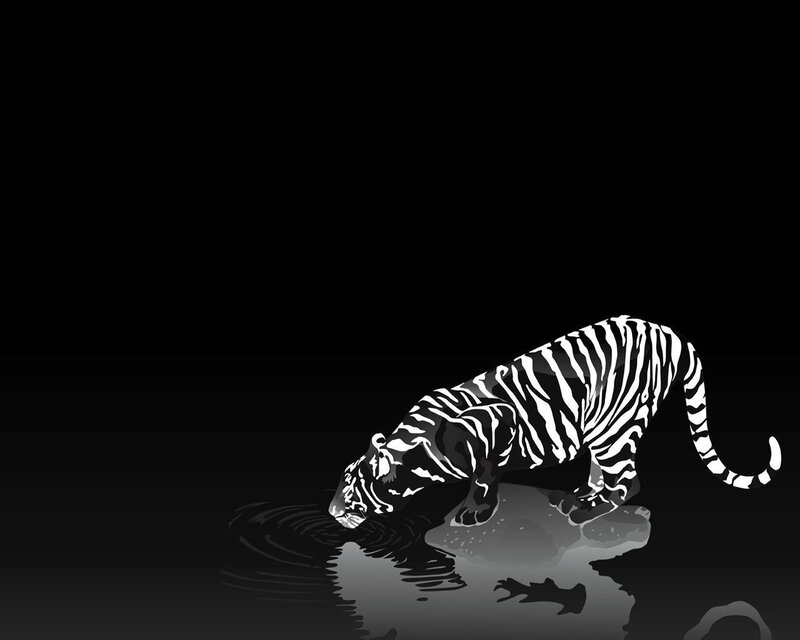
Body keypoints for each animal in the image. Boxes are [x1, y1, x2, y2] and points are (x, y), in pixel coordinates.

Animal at [328, 316, 782, 528]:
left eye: (352, 491)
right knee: (605, 472)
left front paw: (475, 511)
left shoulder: (499, 423)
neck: (416, 448)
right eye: (342, 479)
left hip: (614, 429)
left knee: (630, 481)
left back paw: (584, 510)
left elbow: (484, 475)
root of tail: (667, 331)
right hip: (601, 428)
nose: (331, 513)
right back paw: (577, 495)